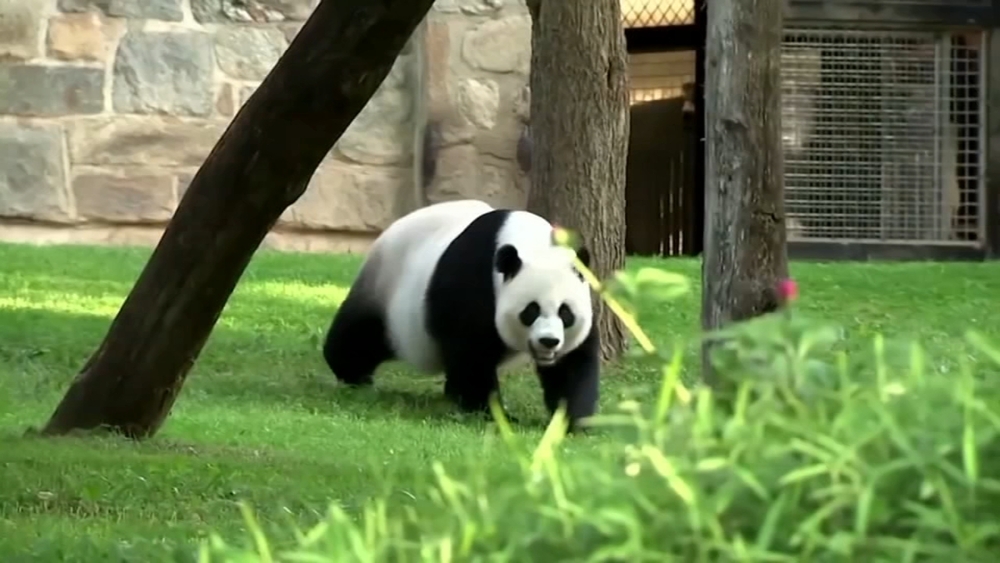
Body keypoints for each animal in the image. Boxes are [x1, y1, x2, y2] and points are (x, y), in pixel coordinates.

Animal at [322, 199, 600, 431]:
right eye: (530, 311)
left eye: (565, 313)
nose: (548, 342)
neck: (533, 244)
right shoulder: (476, 280)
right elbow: (472, 353)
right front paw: (490, 413)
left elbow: (572, 364)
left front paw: (572, 421)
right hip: (387, 287)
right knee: (361, 335)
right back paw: (352, 373)